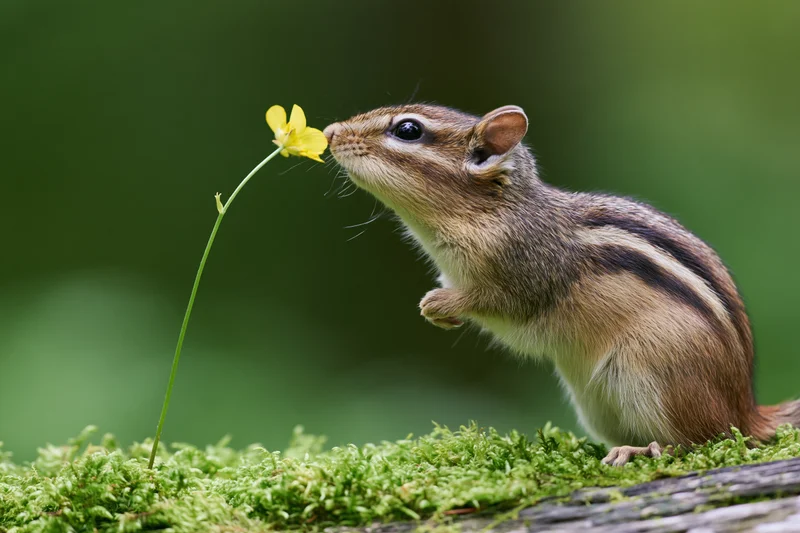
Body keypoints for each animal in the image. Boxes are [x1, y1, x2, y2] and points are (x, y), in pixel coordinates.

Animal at [322, 104, 800, 466]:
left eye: (407, 130)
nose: (329, 132)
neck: (492, 212)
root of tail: (746, 409)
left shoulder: (525, 274)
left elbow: (499, 303)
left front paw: (439, 304)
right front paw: (437, 313)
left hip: (654, 375)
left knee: (703, 440)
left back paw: (642, 449)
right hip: (596, 402)